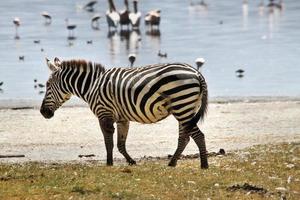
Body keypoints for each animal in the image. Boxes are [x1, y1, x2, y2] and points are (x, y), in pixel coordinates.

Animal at [40, 57, 209, 169]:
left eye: (47, 85)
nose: (43, 112)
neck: (92, 86)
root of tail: (197, 73)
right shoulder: (122, 119)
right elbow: (121, 144)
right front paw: (131, 161)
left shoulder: (104, 114)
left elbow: (108, 142)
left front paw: (109, 164)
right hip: (186, 108)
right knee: (184, 138)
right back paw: (172, 163)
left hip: (182, 107)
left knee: (198, 136)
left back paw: (204, 165)